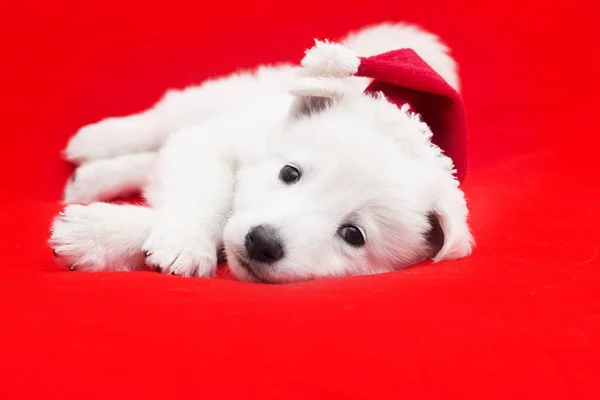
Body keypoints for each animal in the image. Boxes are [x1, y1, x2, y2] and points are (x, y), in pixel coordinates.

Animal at [49, 22, 474, 284]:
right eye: (290, 173)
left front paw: (95, 235)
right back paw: (93, 142)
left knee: (151, 159)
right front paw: (184, 241)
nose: (263, 242)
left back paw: (85, 181)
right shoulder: (215, 143)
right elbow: (211, 196)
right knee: (159, 123)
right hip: (220, 98)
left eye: (353, 234)